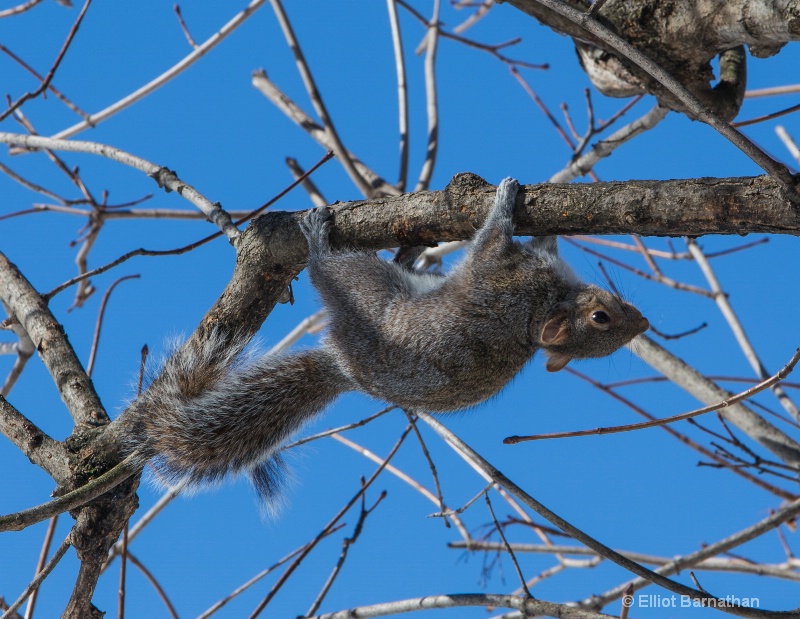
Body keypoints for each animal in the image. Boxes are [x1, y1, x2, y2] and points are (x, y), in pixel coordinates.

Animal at [123, 179, 648, 504]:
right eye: (603, 318)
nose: (643, 322)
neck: (541, 309)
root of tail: (344, 367)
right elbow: (526, 244)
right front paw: (548, 230)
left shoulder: (498, 274)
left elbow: (491, 238)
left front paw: (503, 202)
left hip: (363, 287)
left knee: (329, 269)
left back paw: (318, 242)